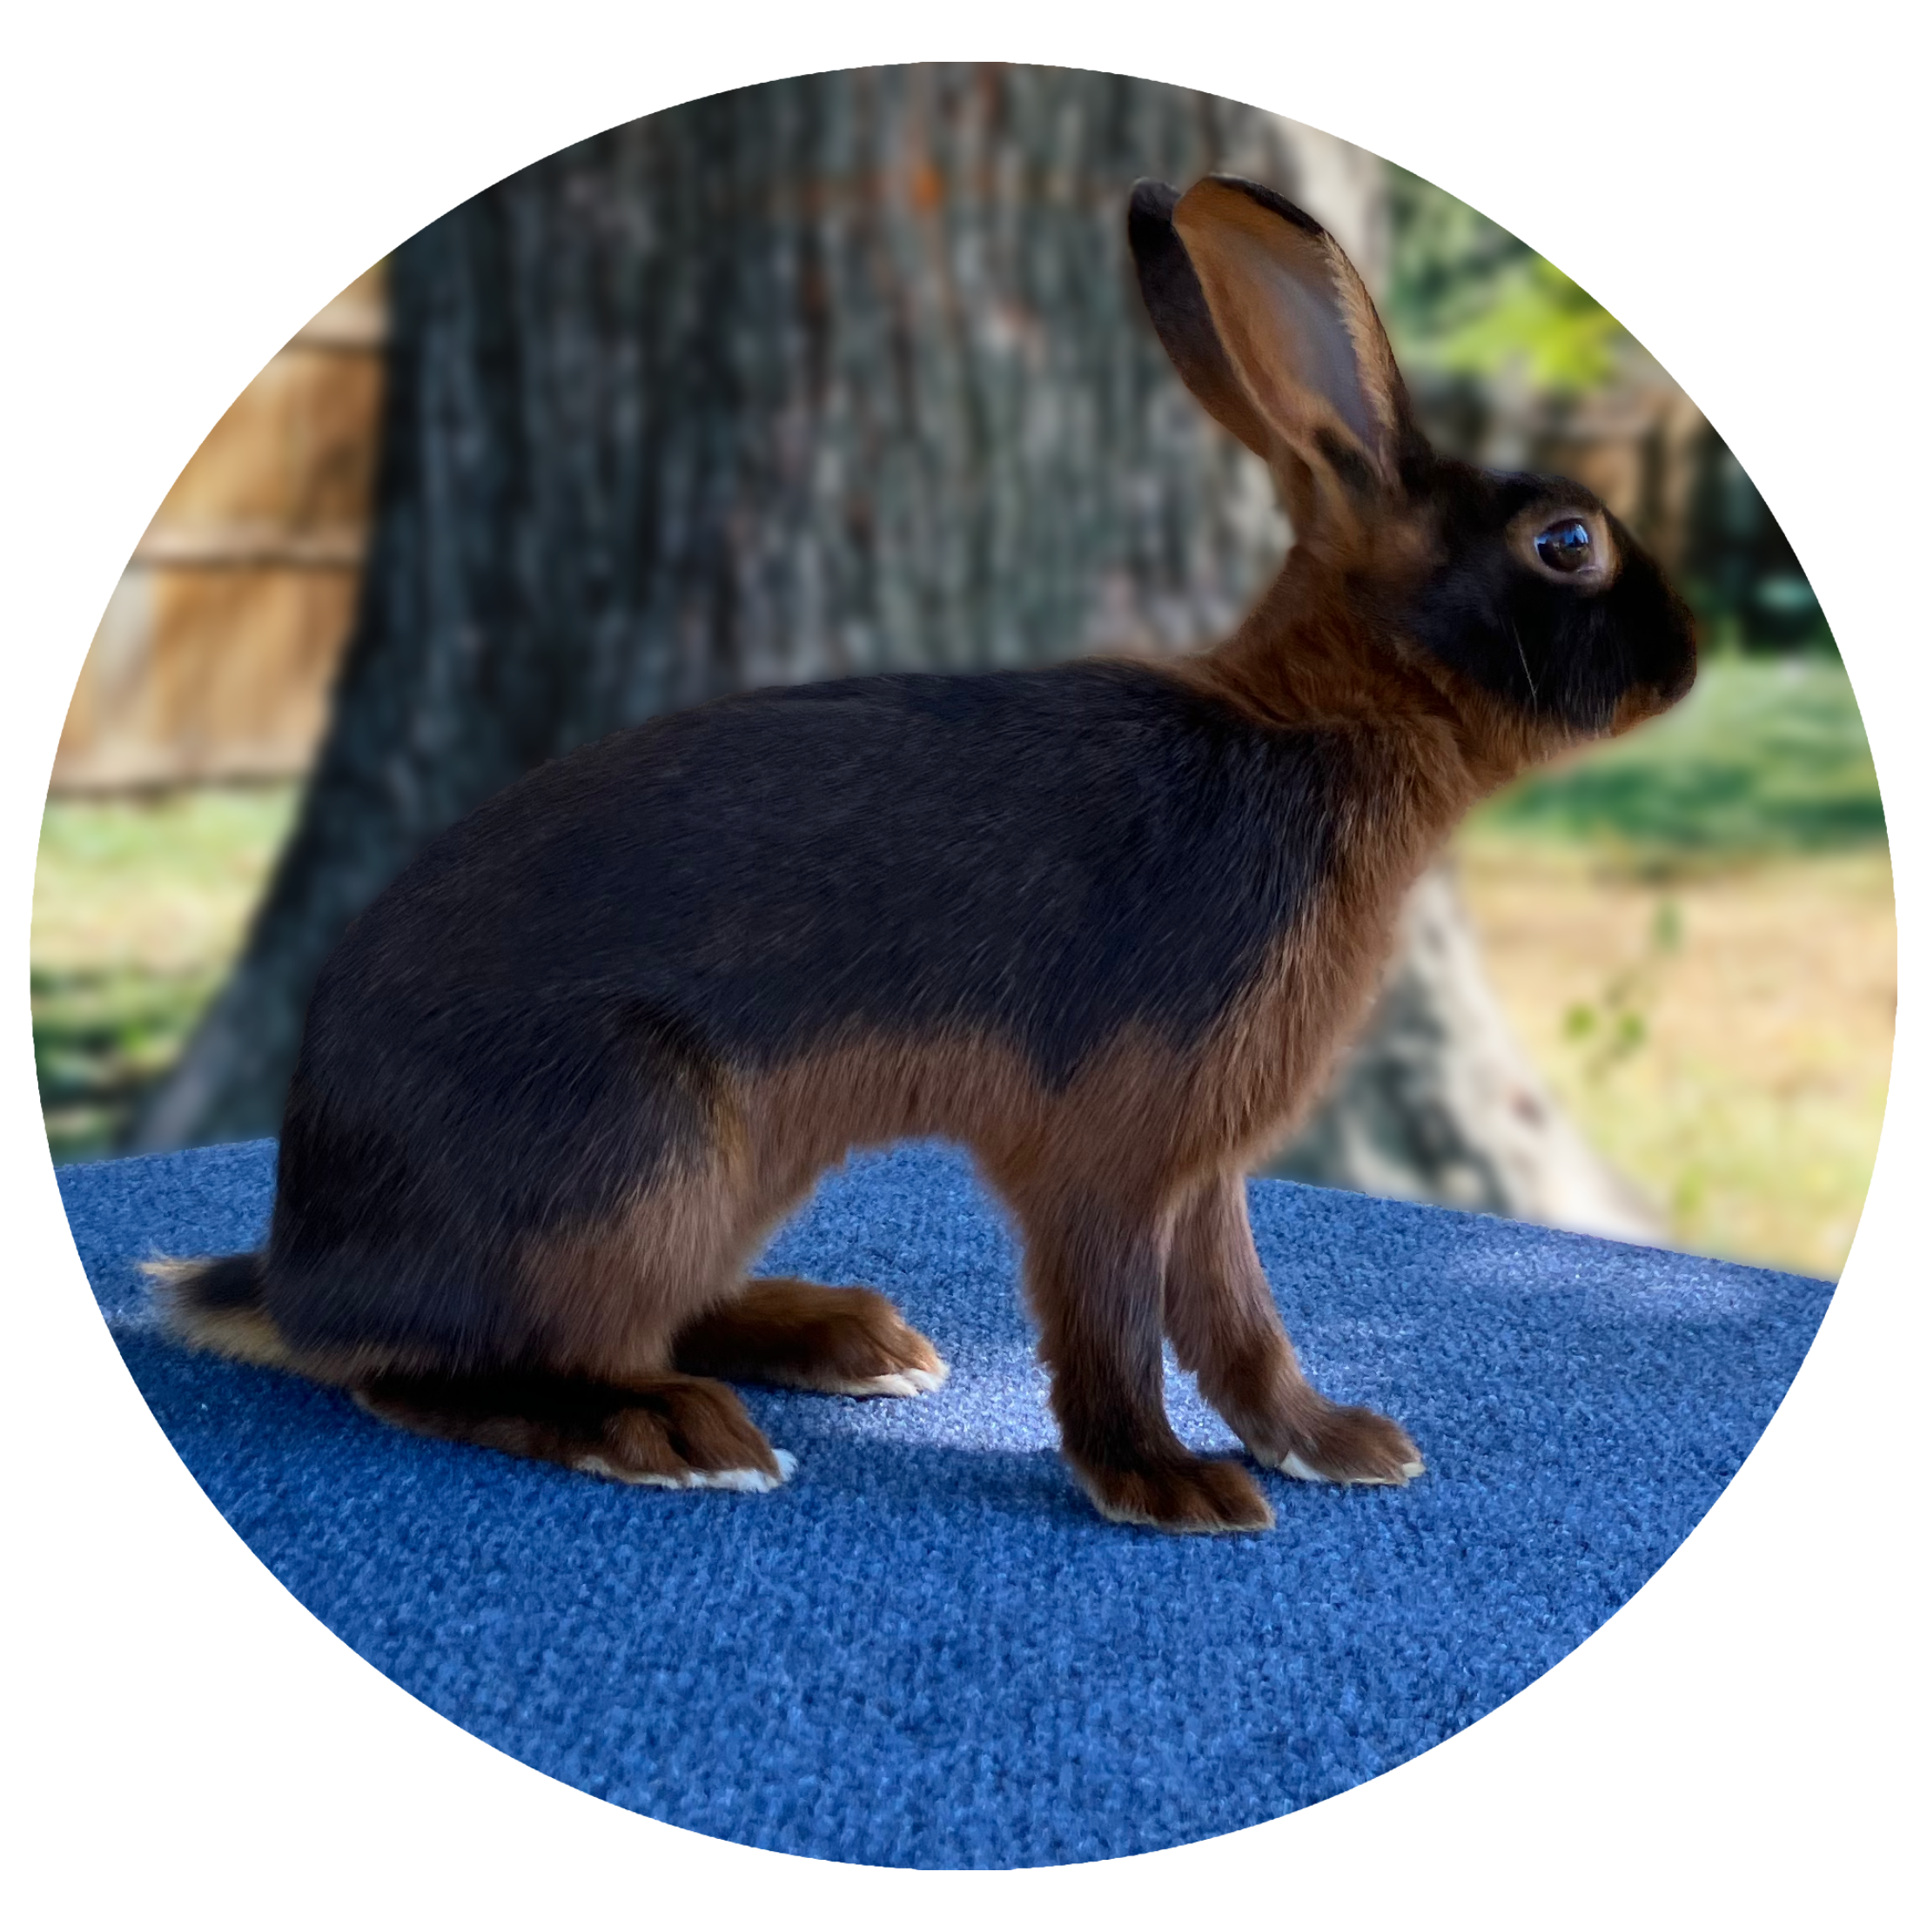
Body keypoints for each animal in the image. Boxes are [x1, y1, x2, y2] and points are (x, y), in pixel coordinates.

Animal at [148, 174, 1696, 1534]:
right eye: (1565, 543)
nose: (1684, 658)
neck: (1311, 725)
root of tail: (301, 1269)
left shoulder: (1203, 1165)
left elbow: (1239, 1321)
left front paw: (1336, 1446)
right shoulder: (1109, 1149)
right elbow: (1114, 1324)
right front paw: (1167, 1489)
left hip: (715, 1178)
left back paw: (839, 1338)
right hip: (629, 1150)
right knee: (437, 1373)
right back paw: (672, 1432)